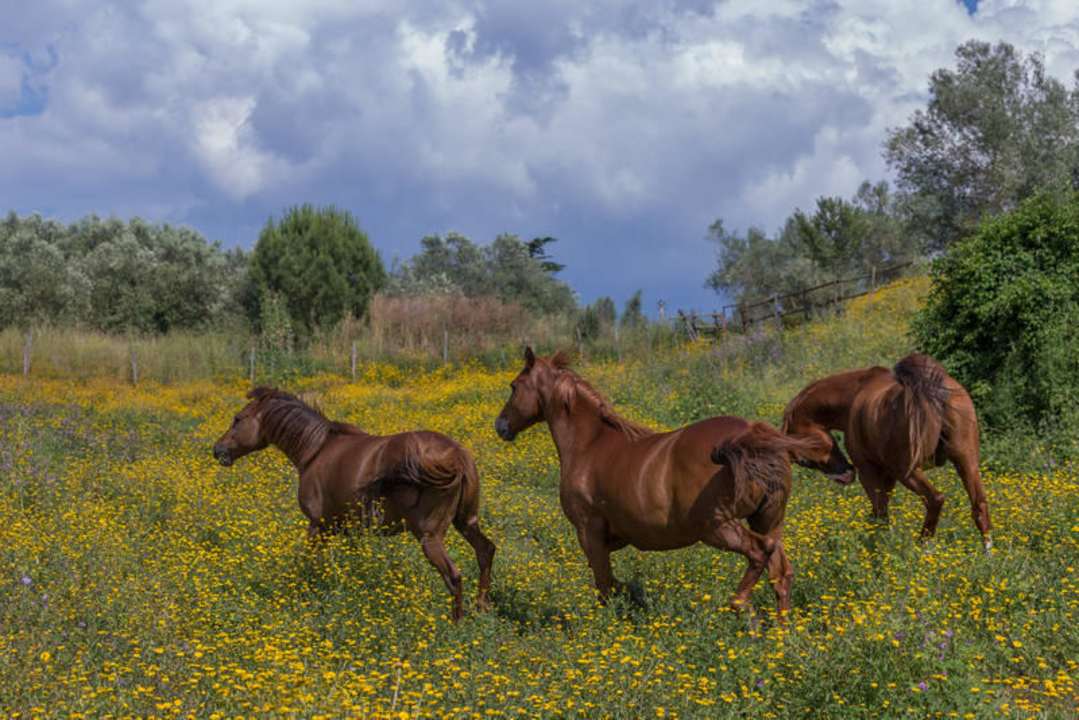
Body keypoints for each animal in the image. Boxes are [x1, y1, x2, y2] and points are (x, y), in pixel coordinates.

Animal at [212, 387, 496, 621]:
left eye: (238, 419)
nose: (218, 450)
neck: (316, 449)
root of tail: (457, 456)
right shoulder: (349, 530)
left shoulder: (318, 526)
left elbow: (309, 563)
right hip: (466, 522)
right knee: (486, 551)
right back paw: (481, 608)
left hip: (430, 537)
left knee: (454, 576)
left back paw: (456, 624)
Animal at [494, 348, 823, 618]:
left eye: (514, 386)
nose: (501, 426)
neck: (589, 444)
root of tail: (752, 436)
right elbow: (615, 583)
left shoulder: (589, 532)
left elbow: (605, 585)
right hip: (766, 520)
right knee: (780, 573)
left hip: (717, 527)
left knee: (759, 553)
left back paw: (741, 606)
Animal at [782, 354, 992, 550]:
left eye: (804, 461)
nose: (845, 476)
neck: (856, 394)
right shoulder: (888, 476)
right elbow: (879, 514)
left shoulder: (869, 473)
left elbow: (880, 515)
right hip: (966, 462)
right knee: (979, 506)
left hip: (908, 472)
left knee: (935, 499)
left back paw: (923, 547)